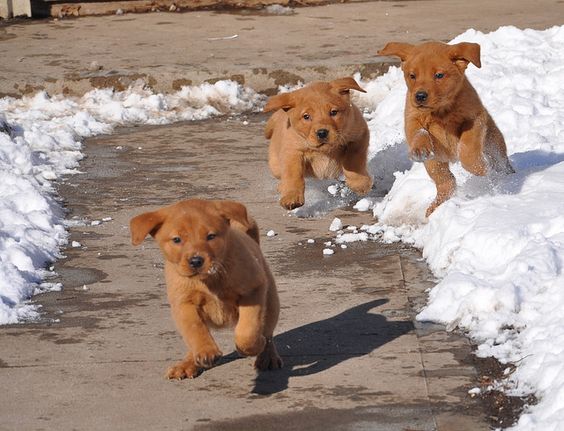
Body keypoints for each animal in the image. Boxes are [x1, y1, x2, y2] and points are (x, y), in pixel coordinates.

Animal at [131, 199, 282, 378]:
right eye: (176, 239)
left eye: (211, 236)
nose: (196, 261)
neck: (210, 281)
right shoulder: (183, 303)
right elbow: (194, 329)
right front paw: (205, 351)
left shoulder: (253, 290)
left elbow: (247, 330)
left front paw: (253, 346)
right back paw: (188, 362)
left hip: (271, 303)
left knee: (268, 332)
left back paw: (268, 357)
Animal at [266, 78, 374, 212]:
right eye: (306, 116)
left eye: (333, 112)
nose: (322, 133)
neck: (325, 151)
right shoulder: (292, 151)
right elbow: (292, 175)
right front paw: (291, 197)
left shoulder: (359, 135)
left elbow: (353, 160)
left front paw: (360, 183)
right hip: (275, 166)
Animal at [378, 41, 516, 216]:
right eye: (412, 76)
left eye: (439, 75)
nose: (420, 96)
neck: (441, 111)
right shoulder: (412, 119)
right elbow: (419, 133)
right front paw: (419, 149)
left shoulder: (474, 119)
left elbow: (467, 148)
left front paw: (480, 169)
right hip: (434, 163)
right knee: (447, 181)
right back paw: (436, 206)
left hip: (493, 142)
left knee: (500, 162)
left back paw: (504, 176)